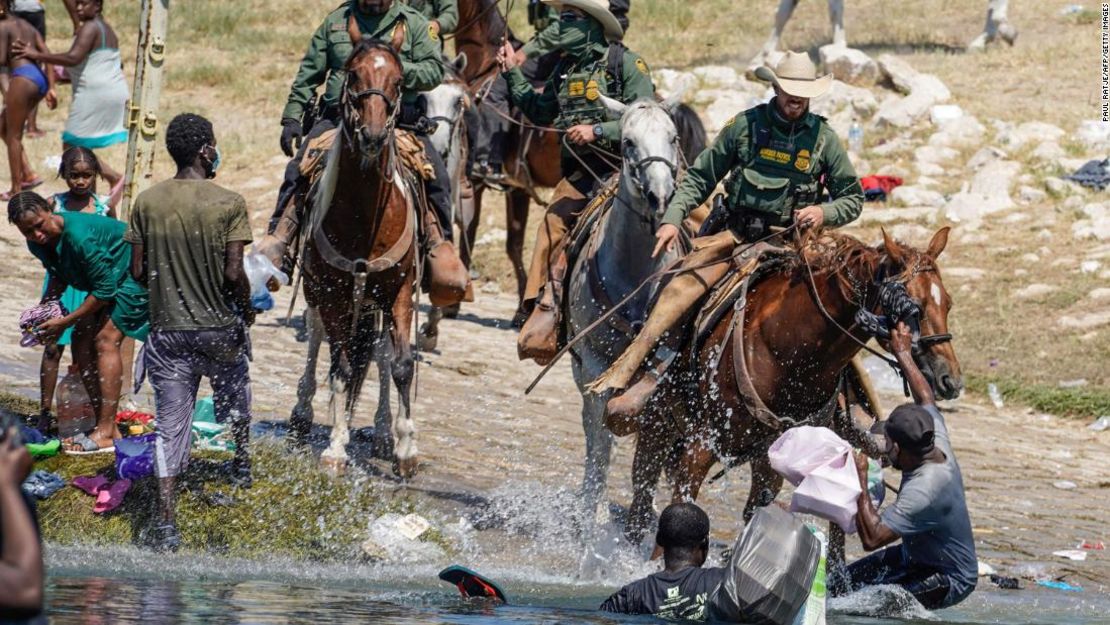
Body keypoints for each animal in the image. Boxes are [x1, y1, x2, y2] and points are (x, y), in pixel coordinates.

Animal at [288, 34, 417, 477]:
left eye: (399, 79)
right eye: (353, 74)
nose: (373, 136)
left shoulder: (400, 291)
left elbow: (401, 364)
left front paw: (405, 449)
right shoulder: (332, 295)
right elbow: (341, 367)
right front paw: (336, 447)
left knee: (378, 353)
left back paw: (381, 432)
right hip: (319, 294)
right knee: (317, 340)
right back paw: (302, 414)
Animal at [626, 227, 963, 546]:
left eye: (948, 304)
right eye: (914, 308)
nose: (951, 379)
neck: (789, 349)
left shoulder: (768, 460)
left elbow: (754, 517)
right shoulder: (701, 444)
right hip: (656, 421)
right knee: (640, 500)